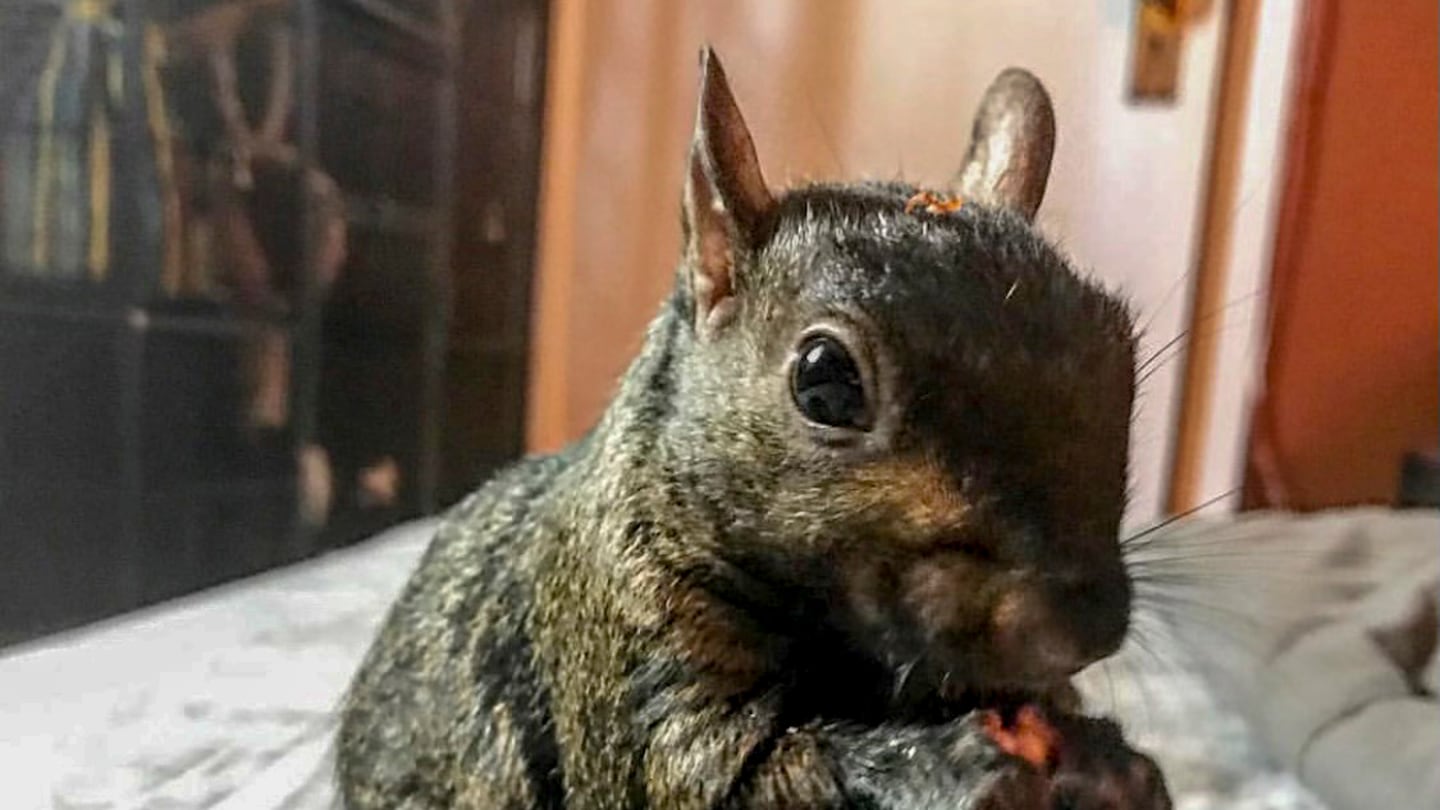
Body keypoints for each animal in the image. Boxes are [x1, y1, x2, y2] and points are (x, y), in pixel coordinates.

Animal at [336, 47, 1169, 801]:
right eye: (825, 382)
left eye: (1121, 347)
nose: (1083, 627)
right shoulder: (622, 635)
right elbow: (717, 774)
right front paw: (947, 762)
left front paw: (1113, 764)